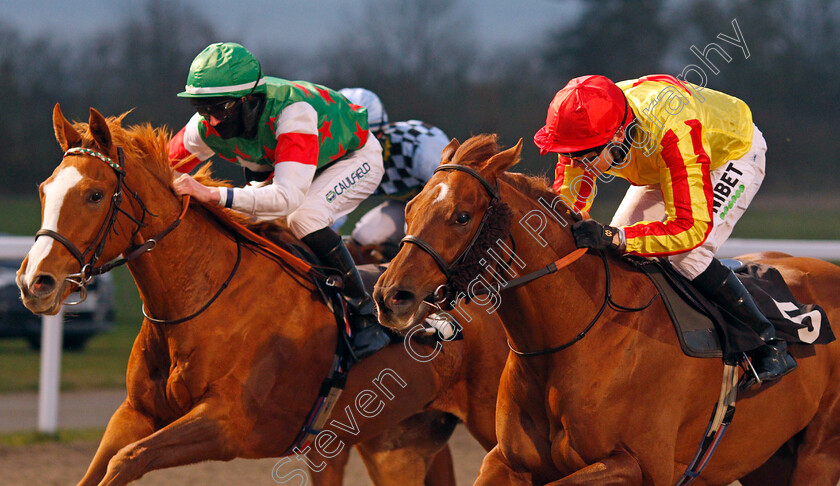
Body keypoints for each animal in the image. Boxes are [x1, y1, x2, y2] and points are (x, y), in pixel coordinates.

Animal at [18, 108, 506, 486]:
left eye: (94, 194)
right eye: (44, 189)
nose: (35, 282)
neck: (205, 296)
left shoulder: (226, 425)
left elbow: (127, 460)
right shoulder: (134, 413)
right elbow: (101, 467)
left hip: (490, 420)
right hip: (397, 441)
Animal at [376, 134, 840, 486]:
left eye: (461, 216)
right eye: (410, 208)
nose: (389, 296)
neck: (576, 335)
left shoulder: (638, 466)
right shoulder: (506, 461)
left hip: (817, 457)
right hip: (770, 459)